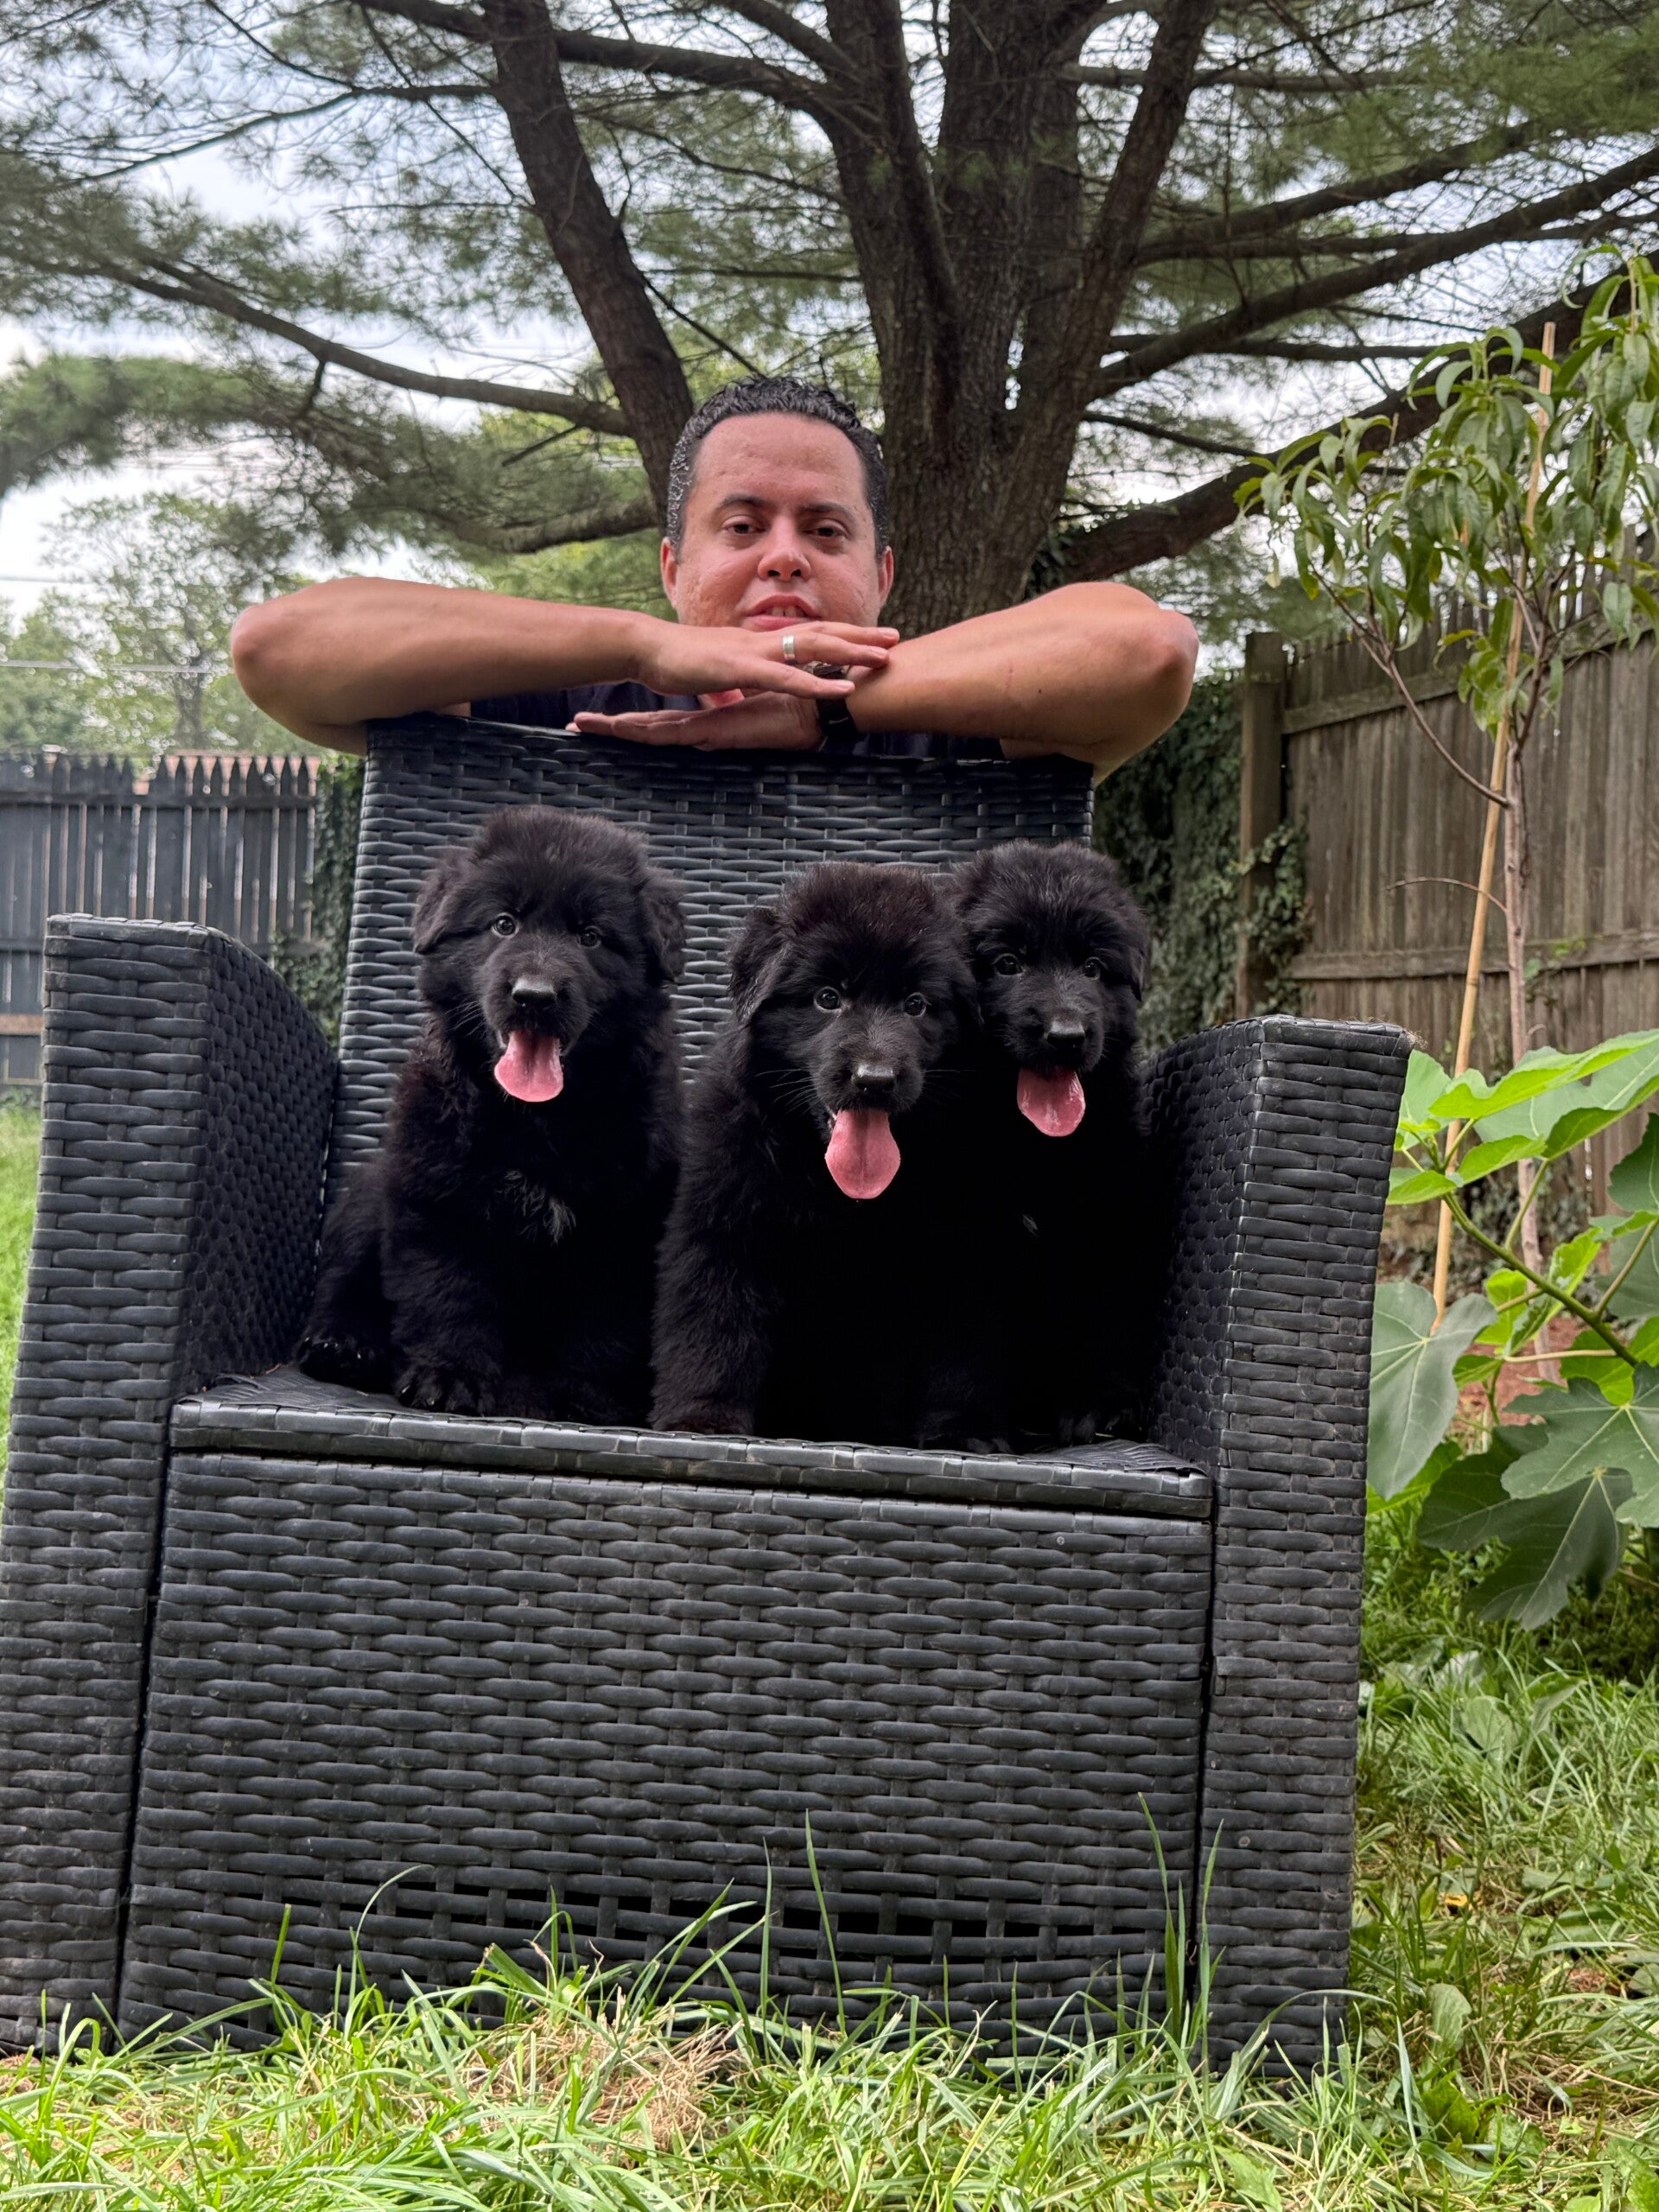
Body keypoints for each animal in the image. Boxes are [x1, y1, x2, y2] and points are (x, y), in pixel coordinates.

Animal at [297, 805, 684, 1422]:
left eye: (591, 937)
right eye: (504, 924)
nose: (535, 996)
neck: (537, 1118)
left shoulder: (628, 1220)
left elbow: (604, 1325)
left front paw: (582, 1396)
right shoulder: (438, 1198)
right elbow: (449, 1294)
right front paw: (449, 1377)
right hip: (372, 1189)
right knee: (344, 1272)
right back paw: (344, 1344)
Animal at [651, 861, 1007, 1448]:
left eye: (916, 1005)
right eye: (827, 998)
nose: (875, 1080)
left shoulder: (955, 1252)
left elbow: (958, 1353)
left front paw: (960, 1431)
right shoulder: (725, 1227)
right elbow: (715, 1323)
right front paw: (703, 1418)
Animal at [953, 840, 1155, 1443]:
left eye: (1092, 968)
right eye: (1008, 964)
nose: (1066, 1036)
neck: (1037, 1144)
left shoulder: (1114, 1223)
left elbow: (1112, 1320)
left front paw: (1105, 1408)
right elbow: (970, 1340)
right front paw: (970, 1426)